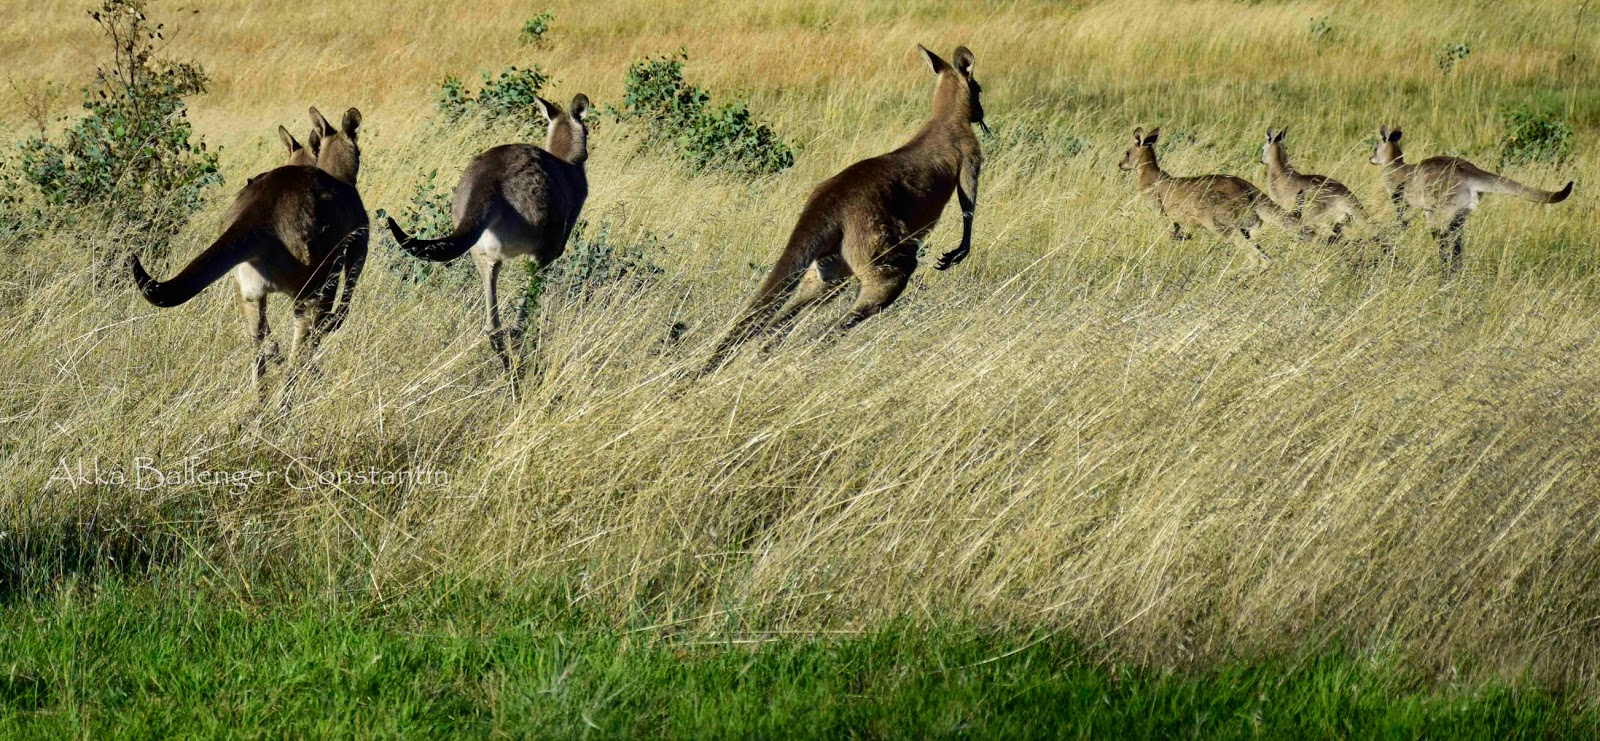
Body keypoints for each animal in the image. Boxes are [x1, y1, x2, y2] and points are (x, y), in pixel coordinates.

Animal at [129, 107, 369, 395]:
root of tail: (260, 213)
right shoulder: (360, 237)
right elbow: (351, 281)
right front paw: (335, 323)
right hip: (312, 287)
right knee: (296, 357)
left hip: (249, 291)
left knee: (260, 349)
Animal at [385, 94, 591, 374]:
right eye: (587, 130)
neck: (566, 161)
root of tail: (489, 182)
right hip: (541, 242)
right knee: (518, 320)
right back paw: (520, 368)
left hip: (481, 252)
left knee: (493, 325)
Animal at [700, 44, 985, 376]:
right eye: (979, 89)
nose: (982, 113)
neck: (945, 118)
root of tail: (828, 202)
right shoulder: (970, 154)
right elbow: (969, 201)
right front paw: (959, 251)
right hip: (880, 250)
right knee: (865, 299)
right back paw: (809, 353)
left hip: (831, 267)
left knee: (792, 306)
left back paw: (767, 353)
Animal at [1121, 127, 1302, 270]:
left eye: (1127, 153)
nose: (1120, 165)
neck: (1148, 172)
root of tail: (1250, 189)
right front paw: (1182, 239)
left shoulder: (1159, 208)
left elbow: (1166, 230)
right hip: (1245, 226)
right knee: (1266, 257)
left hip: (1218, 219)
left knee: (1257, 257)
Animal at [1371, 126, 1573, 277]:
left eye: (1374, 148)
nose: (1370, 158)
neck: (1397, 168)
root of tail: (1470, 172)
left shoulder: (1401, 200)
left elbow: (1402, 219)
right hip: (1461, 210)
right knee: (1457, 241)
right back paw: (1455, 272)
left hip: (1443, 206)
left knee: (1444, 238)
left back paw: (1445, 272)